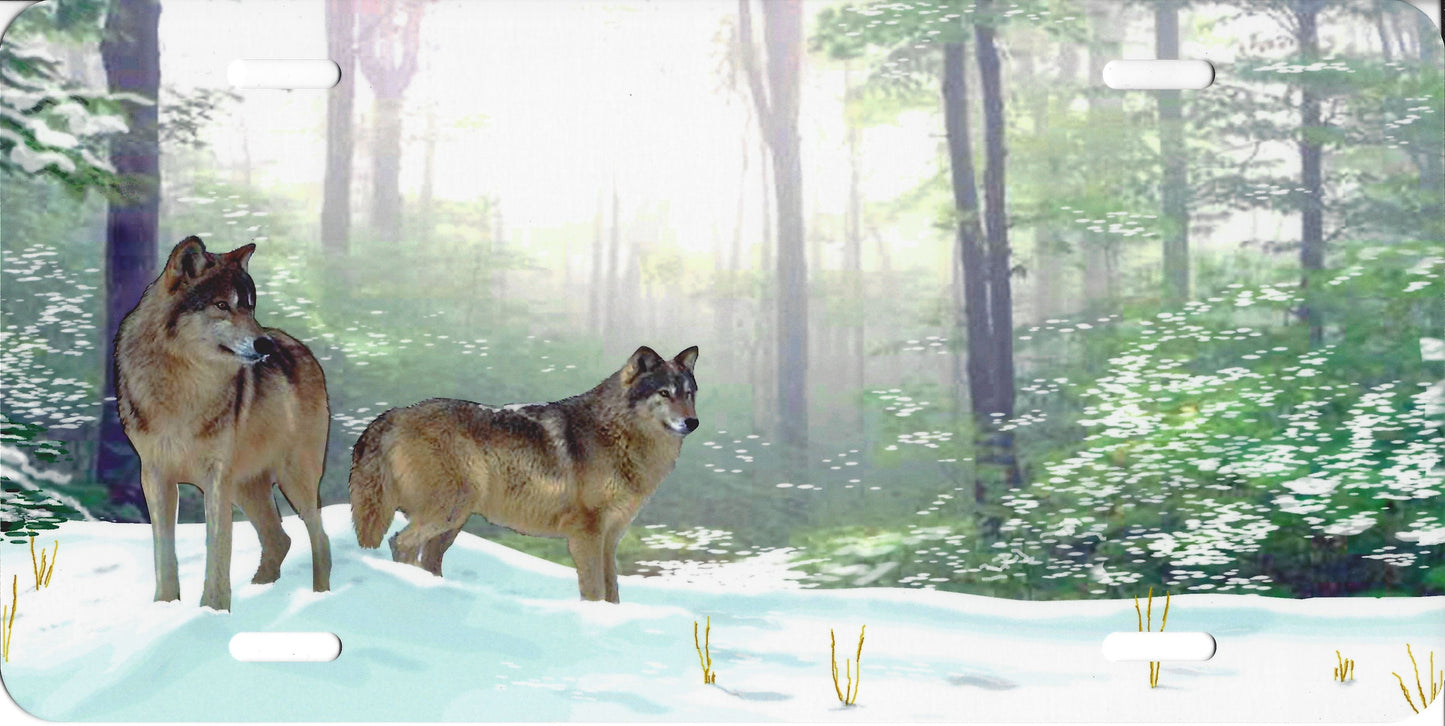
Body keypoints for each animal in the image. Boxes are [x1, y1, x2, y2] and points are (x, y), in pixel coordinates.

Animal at [114, 236, 331, 611]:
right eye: (221, 305)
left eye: (251, 307)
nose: (265, 344)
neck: (183, 391)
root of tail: (300, 347)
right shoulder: (155, 477)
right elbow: (163, 553)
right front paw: (166, 607)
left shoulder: (216, 478)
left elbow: (218, 549)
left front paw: (213, 611)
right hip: (247, 486)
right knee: (280, 539)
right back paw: (261, 591)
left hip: (293, 481)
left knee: (319, 539)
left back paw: (319, 597)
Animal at [349, 345, 699, 603]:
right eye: (664, 393)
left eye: (689, 393)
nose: (692, 423)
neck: (616, 433)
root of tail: (393, 414)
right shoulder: (587, 534)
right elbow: (595, 591)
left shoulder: (610, 539)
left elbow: (612, 592)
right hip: (448, 512)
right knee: (400, 543)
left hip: (453, 522)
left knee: (427, 558)